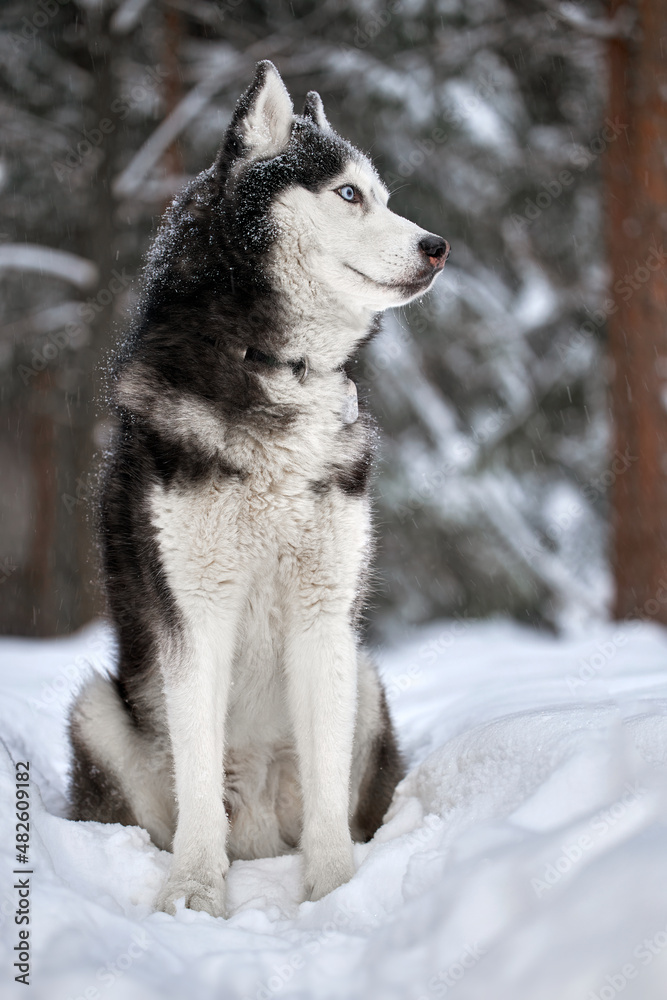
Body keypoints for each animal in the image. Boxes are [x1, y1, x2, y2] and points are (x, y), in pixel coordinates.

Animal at [68, 60, 449, 917]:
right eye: (349, 194)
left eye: (382, 194)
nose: (437, 246)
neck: (276, 366)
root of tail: (258, 834)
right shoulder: (194, 615)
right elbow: (197, 774)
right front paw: (194, 893)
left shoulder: (324, 616)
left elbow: (327, 793)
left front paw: (334, 892)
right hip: (99, 709)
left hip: (362, 678)